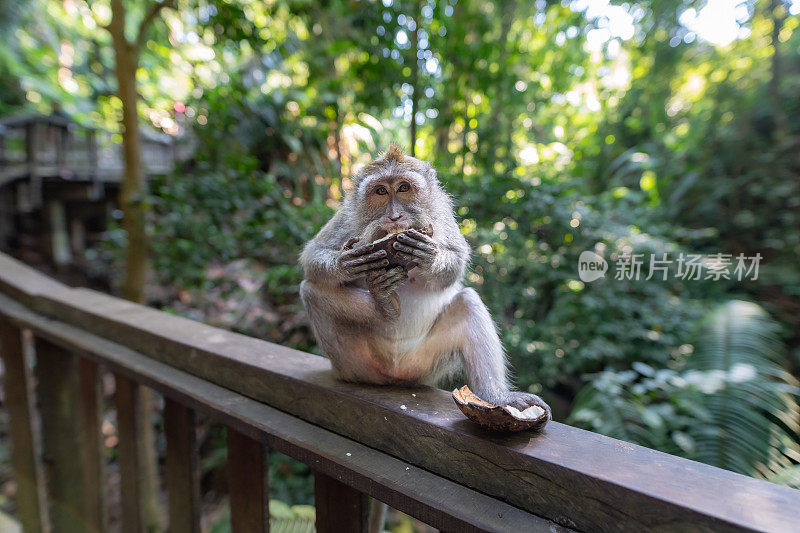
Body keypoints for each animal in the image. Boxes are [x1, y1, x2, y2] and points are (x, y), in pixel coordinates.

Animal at [296, 144, 552, 416]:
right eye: (380, 191)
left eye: (403, 188)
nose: (394, 216)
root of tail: (393, 376)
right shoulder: (346, 214)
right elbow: (313, 256)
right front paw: (348, 262)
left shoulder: (442, 213)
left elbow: (456, 261)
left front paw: (428, 256)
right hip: (359, 361)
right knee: (311, 290)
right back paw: (383, 305)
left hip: (422, 364)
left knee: (468, 302)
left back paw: (498, 396)